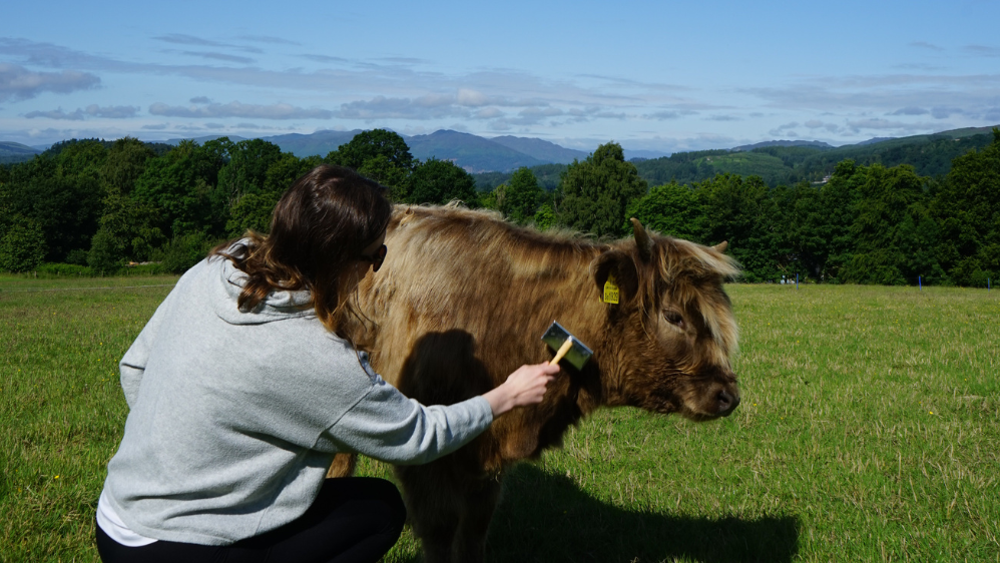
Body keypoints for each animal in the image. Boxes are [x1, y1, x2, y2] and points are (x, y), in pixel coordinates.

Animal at [333, 204, 741, 563]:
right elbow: (441, 528)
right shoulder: (426, 454)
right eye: (673, 316)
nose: (728, 396)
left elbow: (476, 527)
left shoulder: (485, 455)